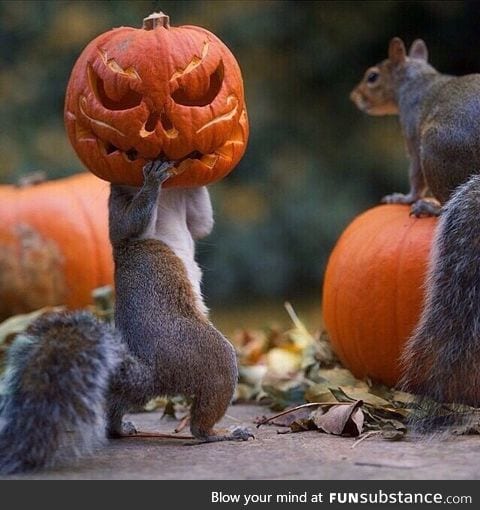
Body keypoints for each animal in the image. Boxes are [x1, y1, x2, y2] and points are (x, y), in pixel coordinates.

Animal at [0, 161, 253, 476]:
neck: (170, 196)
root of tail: (152, 372)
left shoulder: (188, 210)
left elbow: (201, 223)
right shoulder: (117, 208)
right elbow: (129, 225)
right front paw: (153, 179)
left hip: (132, 391)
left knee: (116, 411)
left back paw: (121, 427)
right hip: (209, 355)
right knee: (201, 423)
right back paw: (221, 433)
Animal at [350, 35, 480, 426]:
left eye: (373, 76)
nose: (355, 97)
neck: (418, 79)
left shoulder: (410, 133)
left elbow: (413, 177)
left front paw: (404, 197)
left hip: (433, 148)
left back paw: (430, 207)